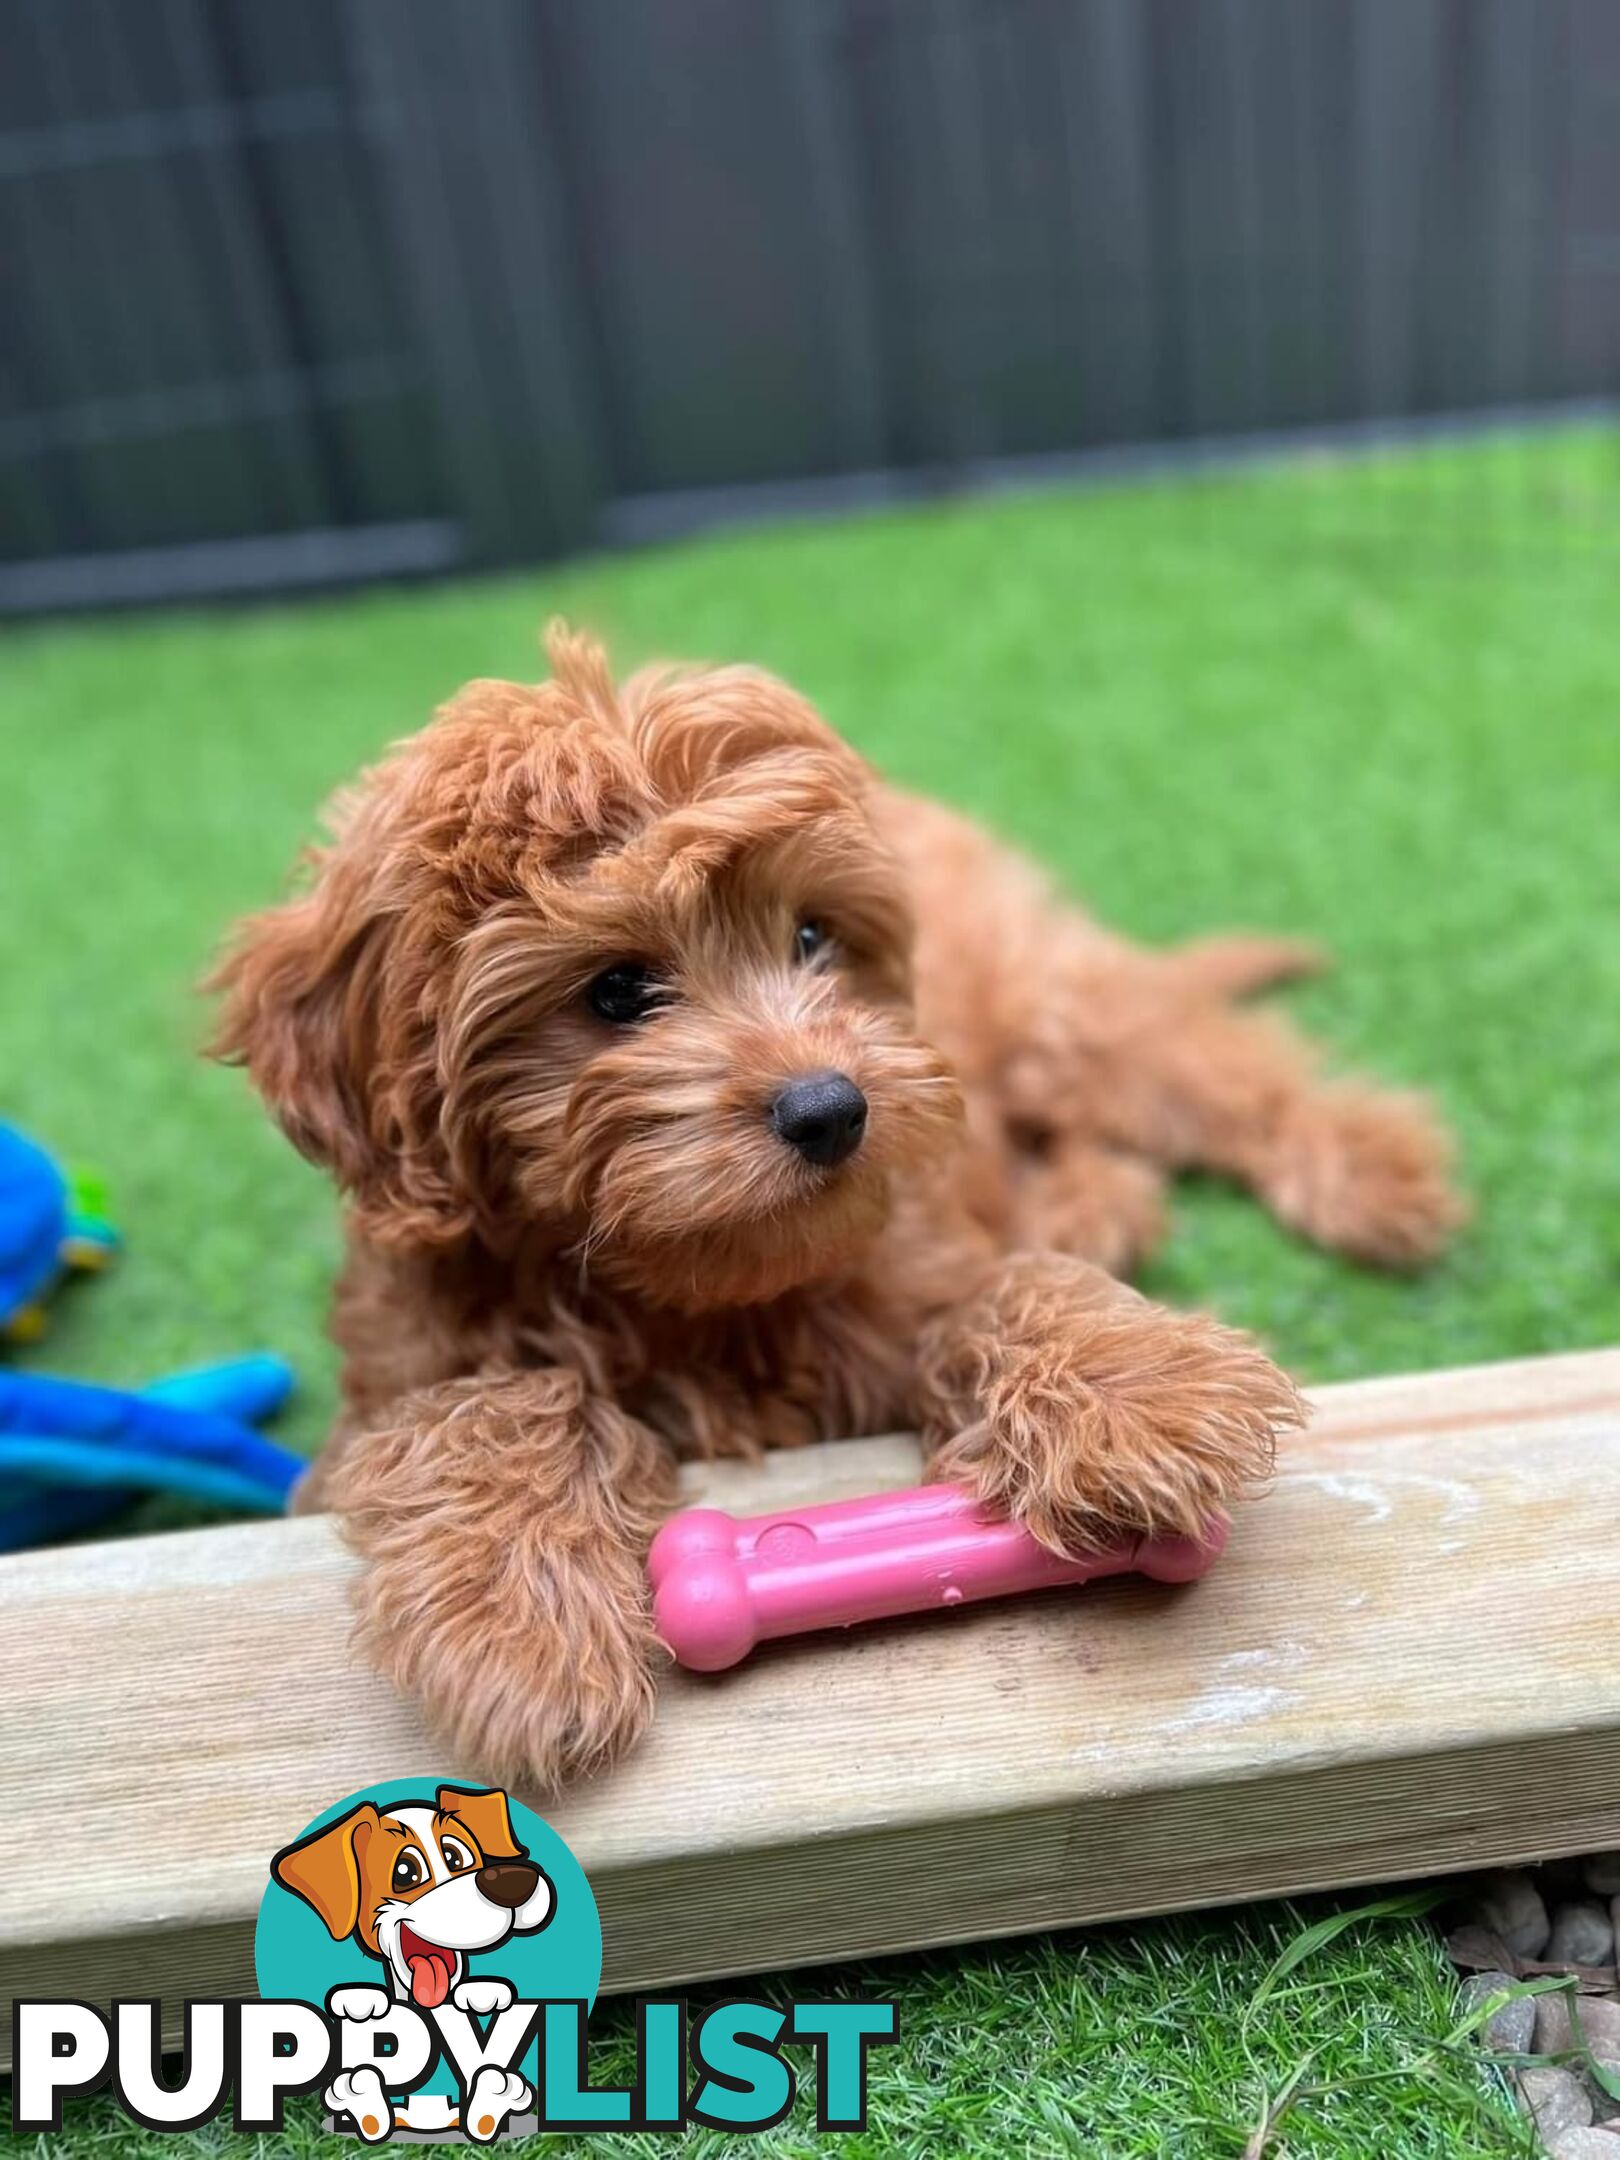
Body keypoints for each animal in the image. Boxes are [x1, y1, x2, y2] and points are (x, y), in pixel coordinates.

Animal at [209, 617, 1468, 1779]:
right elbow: (484, 1404)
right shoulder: (393, 1377)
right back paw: (1100, 1200)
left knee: (1206, 1059)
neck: (693, 1291)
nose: (831, 1110)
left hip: (1053, 1008)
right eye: (615, 991)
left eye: (812, 936)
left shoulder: (906, 1257)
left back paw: (1372, 1168)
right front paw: (517, 1626)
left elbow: (1003, 1289)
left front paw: (1141, 1397)